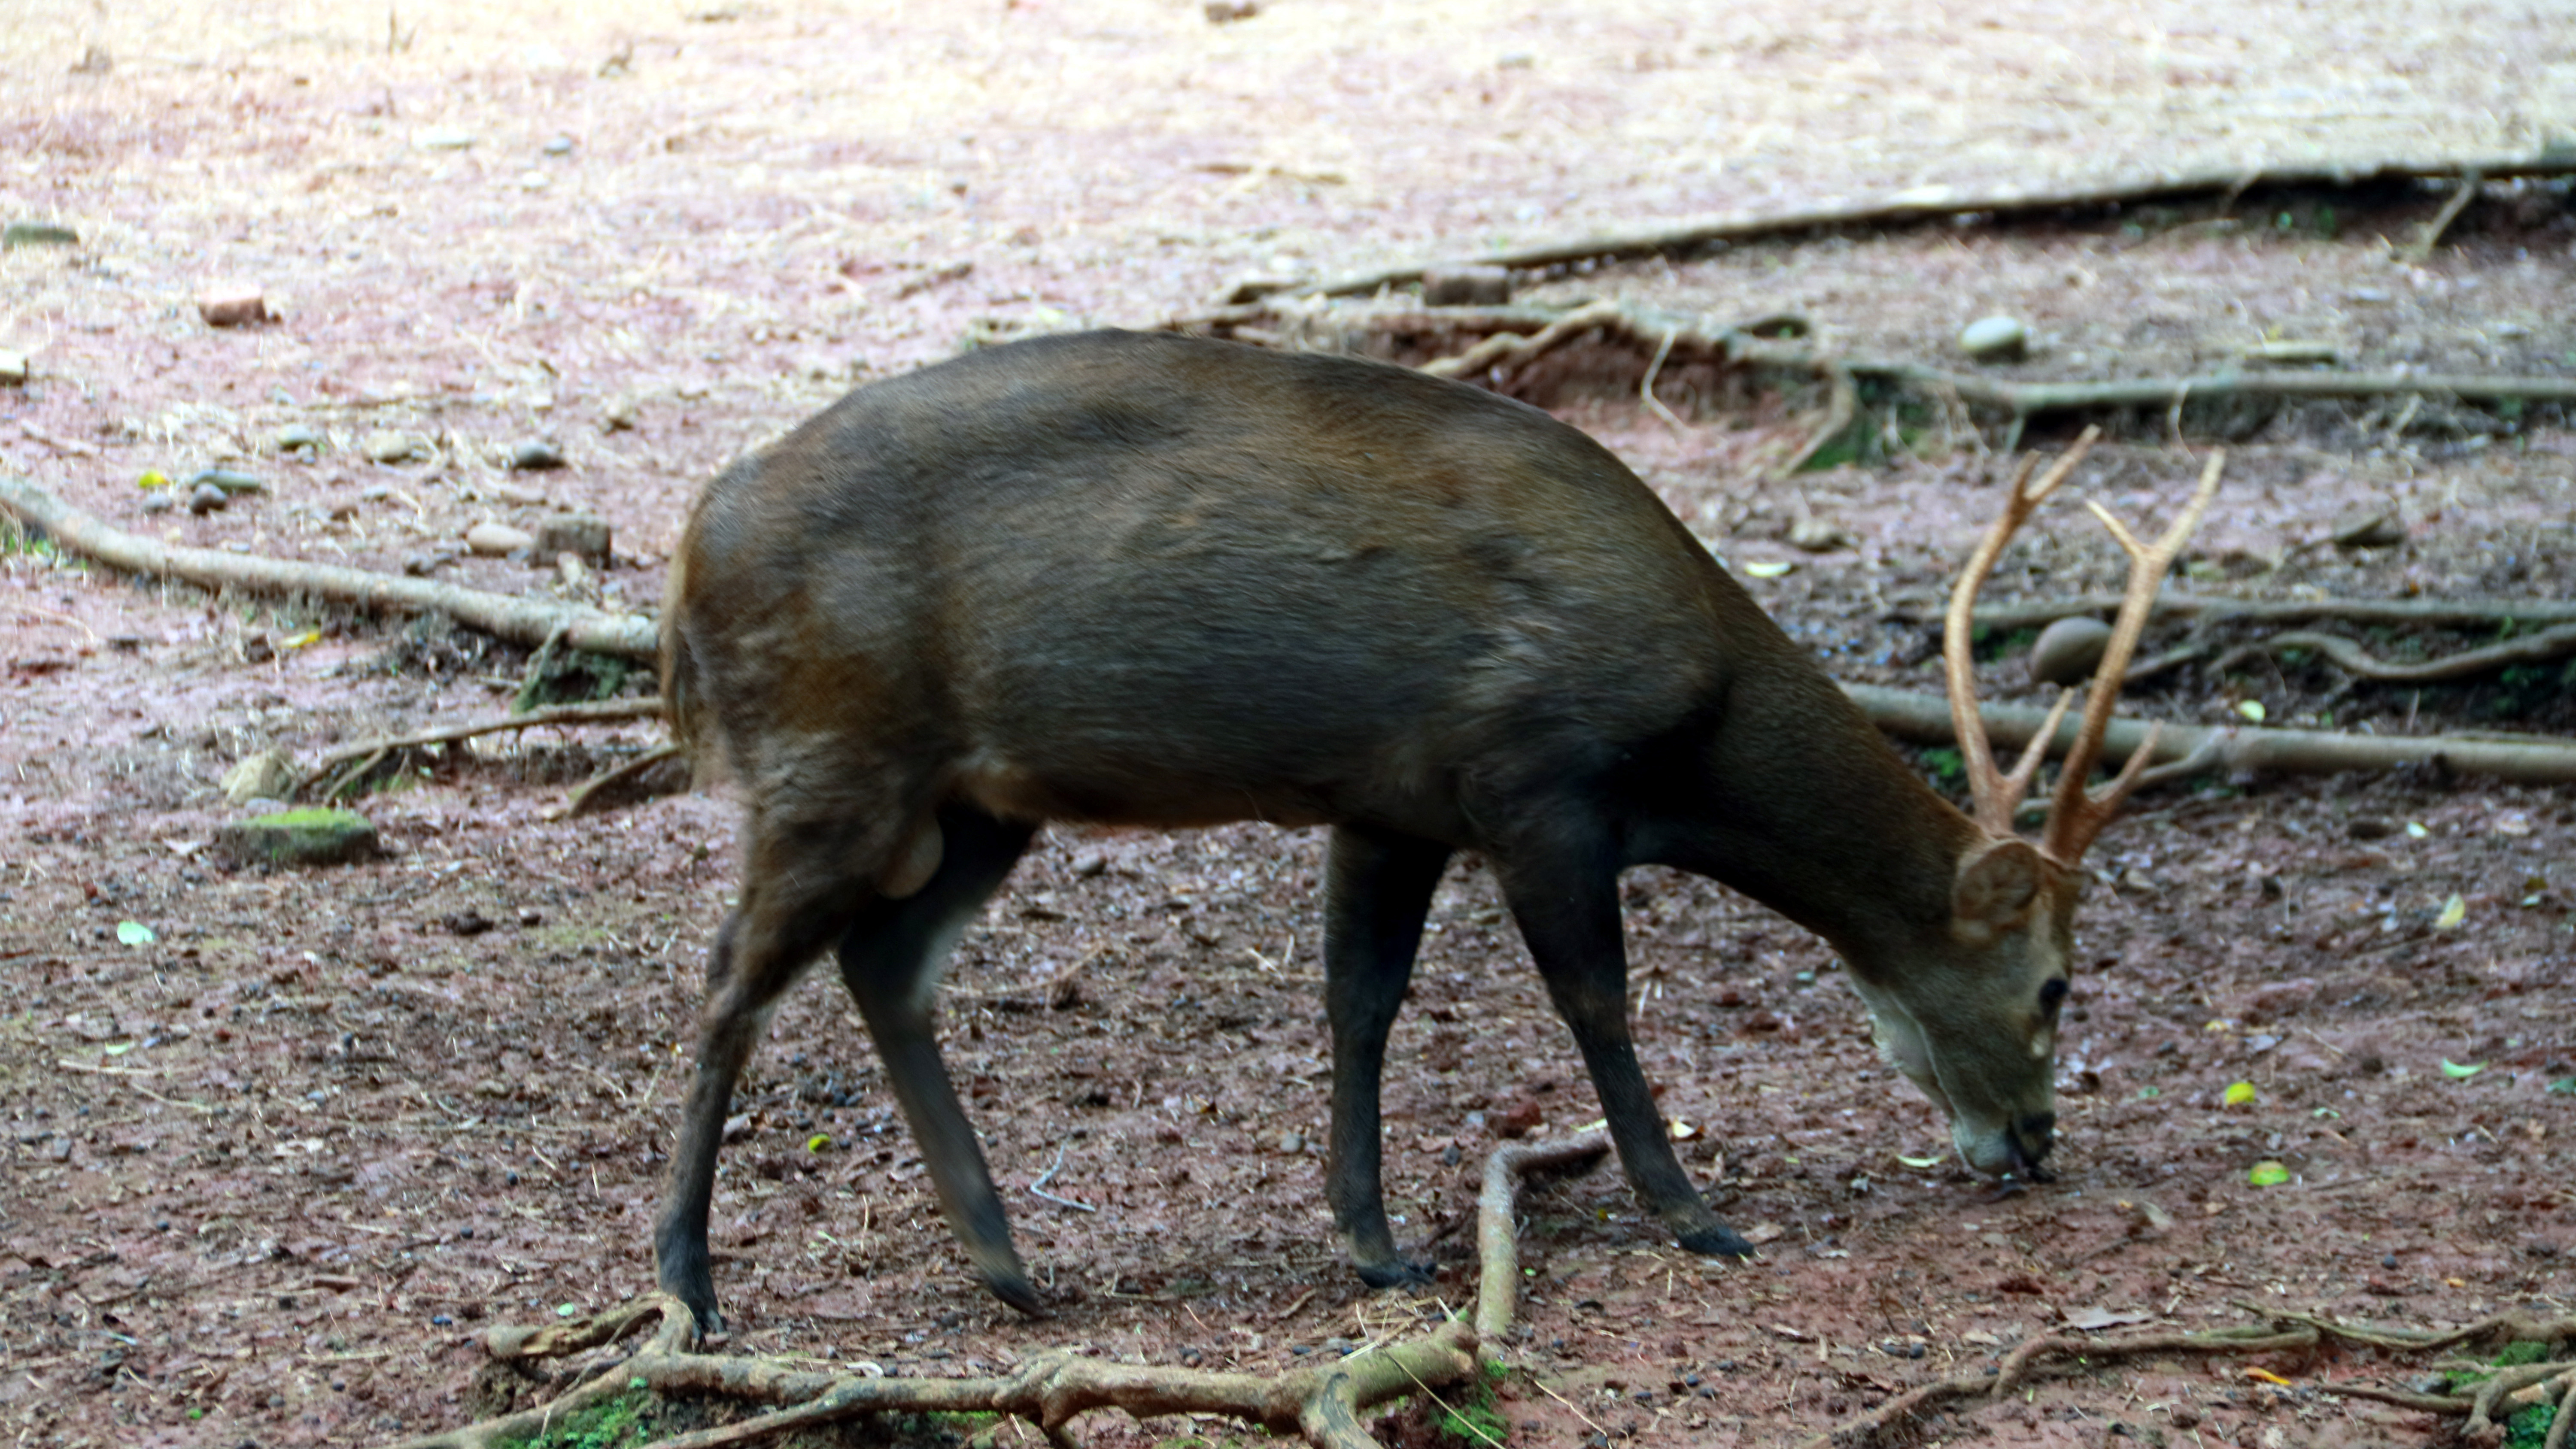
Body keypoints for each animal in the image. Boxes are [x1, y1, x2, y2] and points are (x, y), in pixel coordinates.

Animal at [644, 323, 2215, 1328]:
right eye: (2057, 983)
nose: (2035, 1139)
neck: (1690, 726)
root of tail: (689, 547)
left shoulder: (1389, 802)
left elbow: (1361, 1002)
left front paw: (1375, 1243)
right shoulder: (1533, 773)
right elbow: (1597, 999)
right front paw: (1693, 1212)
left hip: (973, 801)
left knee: (882, 965)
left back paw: (1009, 1263)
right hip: (831, 754)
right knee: (726, 981)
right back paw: (690, 1283)